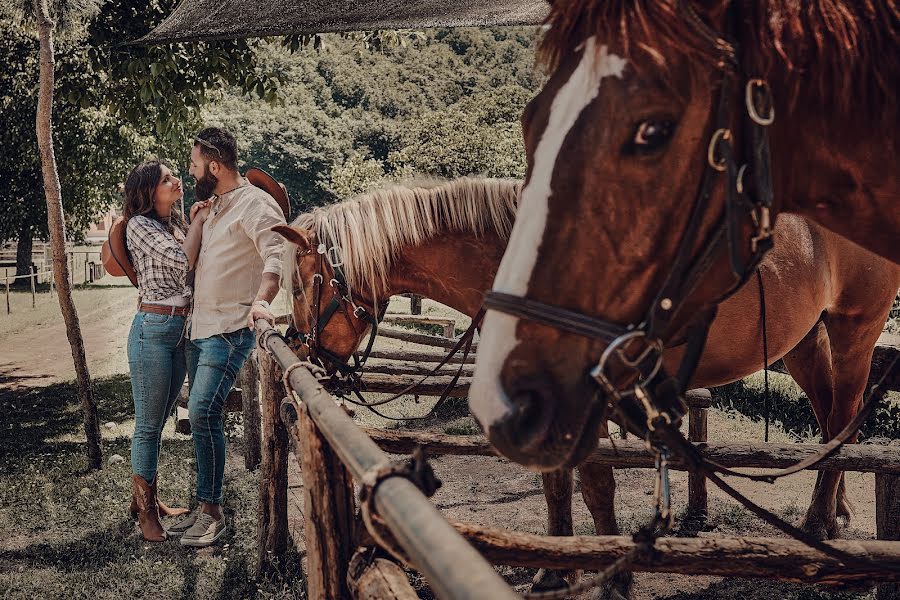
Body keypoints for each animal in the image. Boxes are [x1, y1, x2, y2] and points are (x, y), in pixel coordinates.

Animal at [274, 177, 900, 552]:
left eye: (304, 282)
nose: (299, 349)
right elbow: (556, 486)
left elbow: (596, 485)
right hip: (803, 341)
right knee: (828, 419)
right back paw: (836, 512)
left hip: (855, 330)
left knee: (843, 420)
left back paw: (818, 522)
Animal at [472, 1, 900, 474]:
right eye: (530, 121)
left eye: (654, 130)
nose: (503, 403)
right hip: (805, 341)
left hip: (856, 331)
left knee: (843, 431)